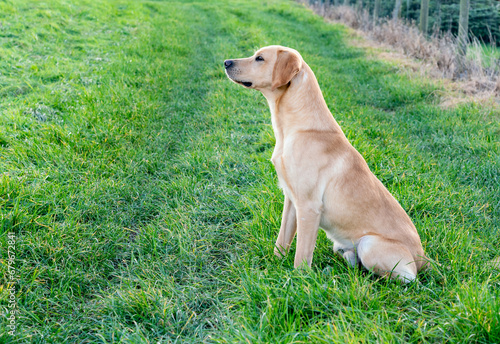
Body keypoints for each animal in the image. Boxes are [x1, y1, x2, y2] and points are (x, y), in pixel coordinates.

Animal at [225, 45, 428, 282]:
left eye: (260, 58)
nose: (226, 62)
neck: (295, 129)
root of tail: (424, 261)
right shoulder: (291, 200)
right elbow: (281, 241)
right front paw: (274, 267)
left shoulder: (309, 206)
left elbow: (301, 256)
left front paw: (297, 281)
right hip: (342, 244)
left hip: (370, 244)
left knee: (406, 279)